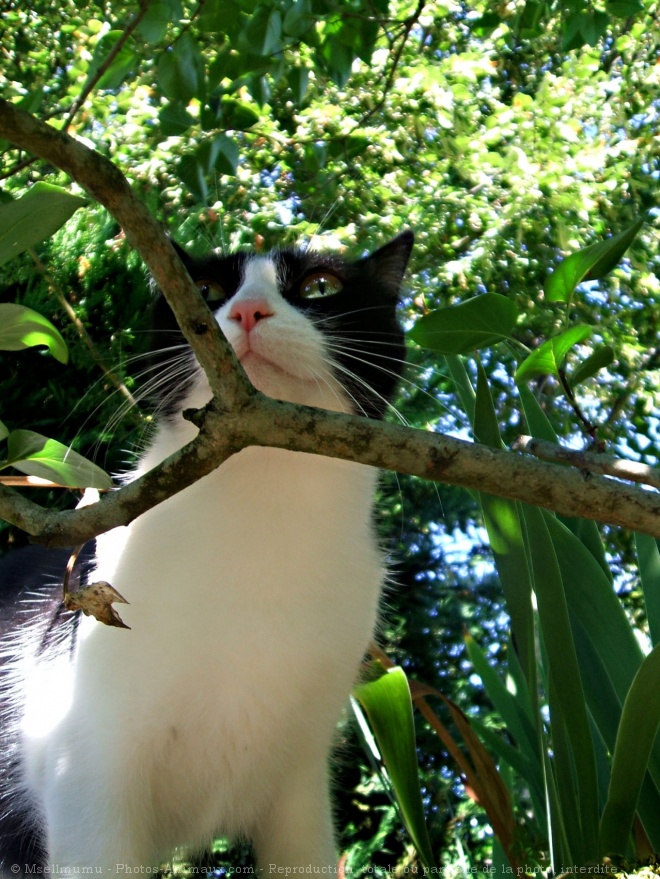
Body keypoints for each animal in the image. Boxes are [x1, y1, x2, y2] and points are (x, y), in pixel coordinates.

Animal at [0, 230, 412, 876]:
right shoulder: (87, 777)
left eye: (321, 286)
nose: (248, 312)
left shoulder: (300, 794)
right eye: (206, 288)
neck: (261, 510)